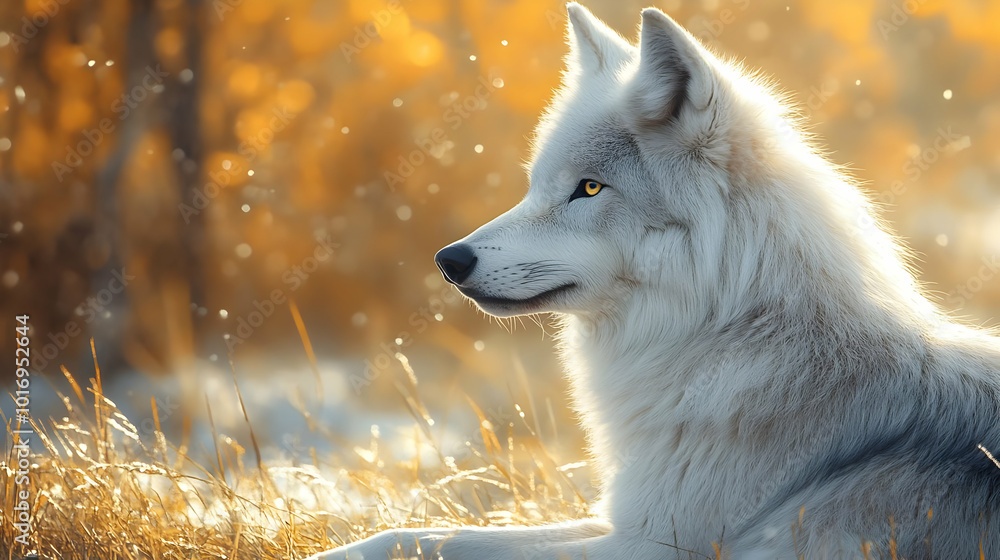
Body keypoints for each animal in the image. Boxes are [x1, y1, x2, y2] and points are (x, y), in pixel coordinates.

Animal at [310, 4, 1000, 559]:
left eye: (589, 188)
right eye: (535, 185)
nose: (449, 261)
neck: (736, 336)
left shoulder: (663, 542)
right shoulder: (628, 520)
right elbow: (411, 533)